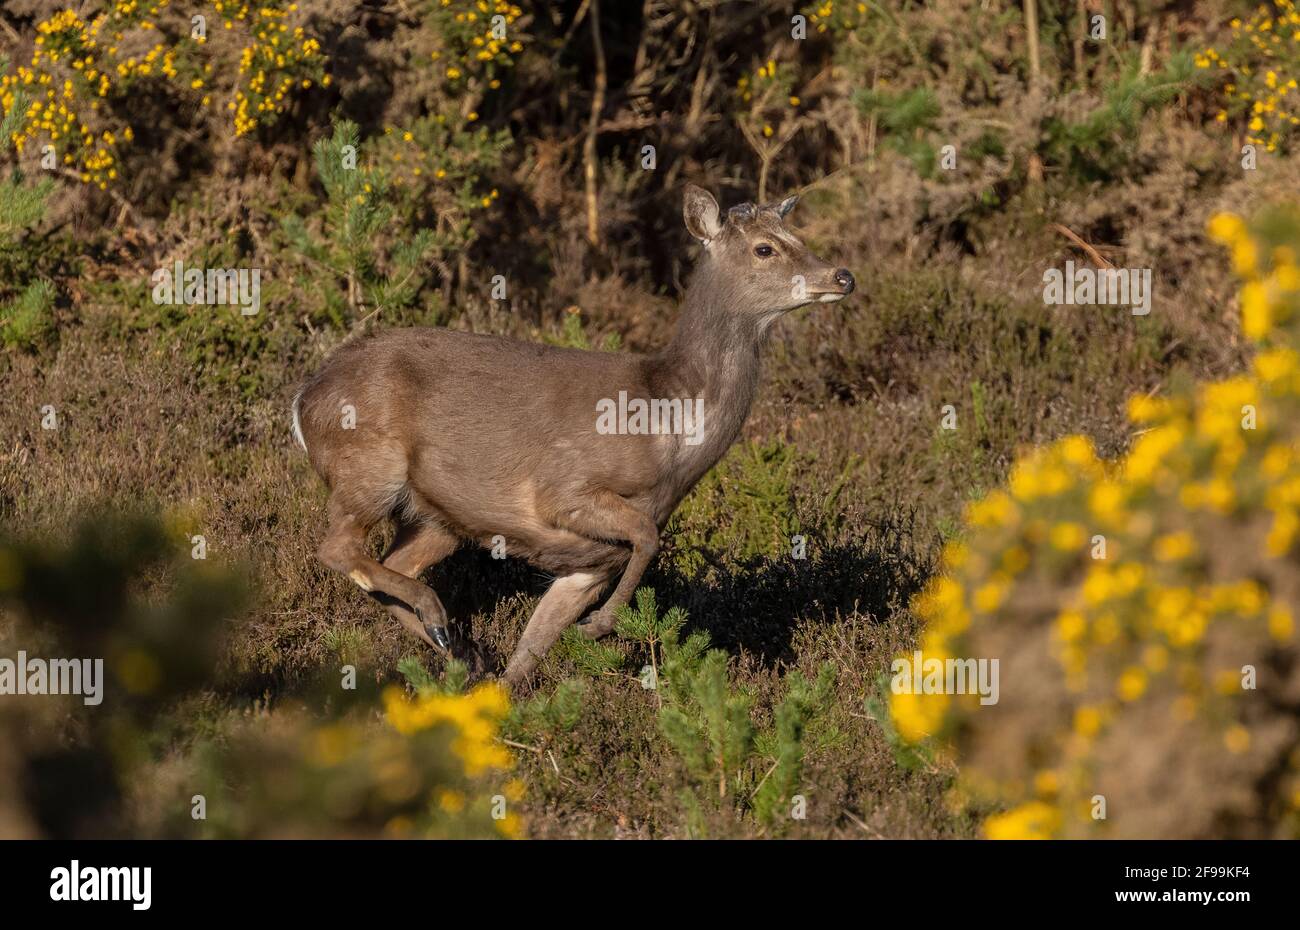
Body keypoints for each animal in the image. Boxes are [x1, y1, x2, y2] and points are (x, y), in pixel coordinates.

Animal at [292, 184, 855, 689]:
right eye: (765, 247)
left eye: (797, 233)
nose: (843, 275)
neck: (668, 427)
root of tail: (303, 400)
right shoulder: (564, 488)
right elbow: (647, 535)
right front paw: (598, 627)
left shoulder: (590, 566)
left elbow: (532, 649)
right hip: (368, 464)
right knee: (337, 548)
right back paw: (440, 620)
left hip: (436, 516)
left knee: (392, 563)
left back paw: (461, 651)